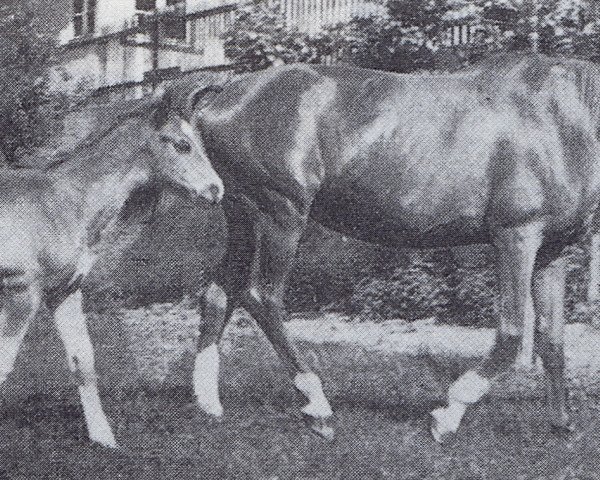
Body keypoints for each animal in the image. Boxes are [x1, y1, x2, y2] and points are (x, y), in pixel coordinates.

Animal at [0, 95, 224, 448]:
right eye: (182, 145)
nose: (216, 189)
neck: (60, 204)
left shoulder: (64, 291)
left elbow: (83, 360)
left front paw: (102, 437)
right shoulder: (21, 291)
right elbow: (4, 362)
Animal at [166, 53, 600, 442]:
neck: (560, 118)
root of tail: (228, 92)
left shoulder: (552, 250)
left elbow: (552, 339)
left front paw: (562, 425)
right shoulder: (517, 237)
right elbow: (511, 334)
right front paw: (447, 416)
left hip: (245, 220)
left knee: (219, 292)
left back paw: (209, 404)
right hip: (281, 215)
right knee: (263, 297)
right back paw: (317, 407)